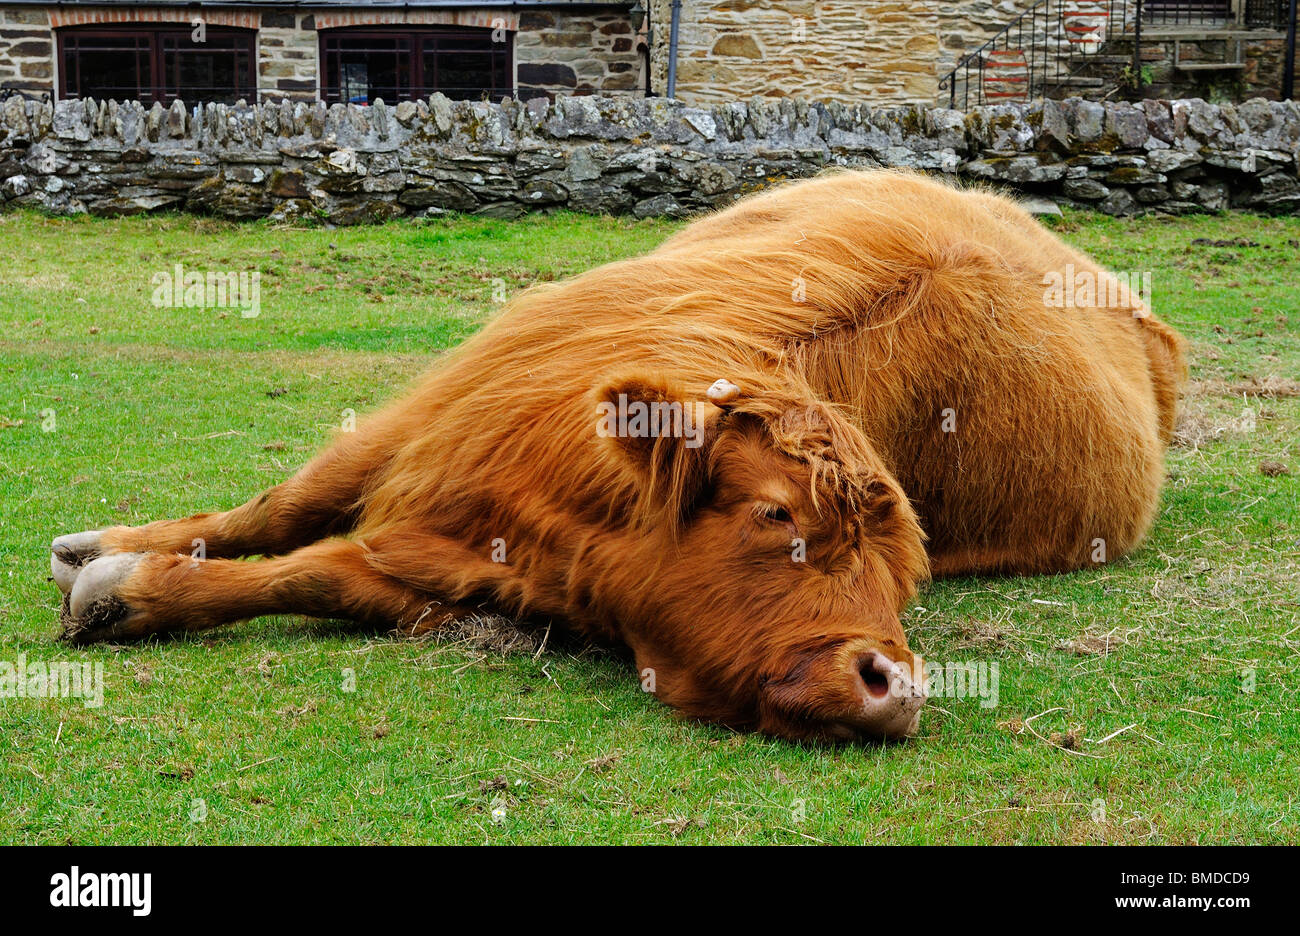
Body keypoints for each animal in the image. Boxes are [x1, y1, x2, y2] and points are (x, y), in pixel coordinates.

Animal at [50, 166, 1190, 738]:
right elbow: (276, 511)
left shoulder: (459, 568)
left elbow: (317, 575)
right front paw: (106, 553)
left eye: (909, 577)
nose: (890, 685)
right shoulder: (413, 434)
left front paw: (133, 591)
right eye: (775, 514)